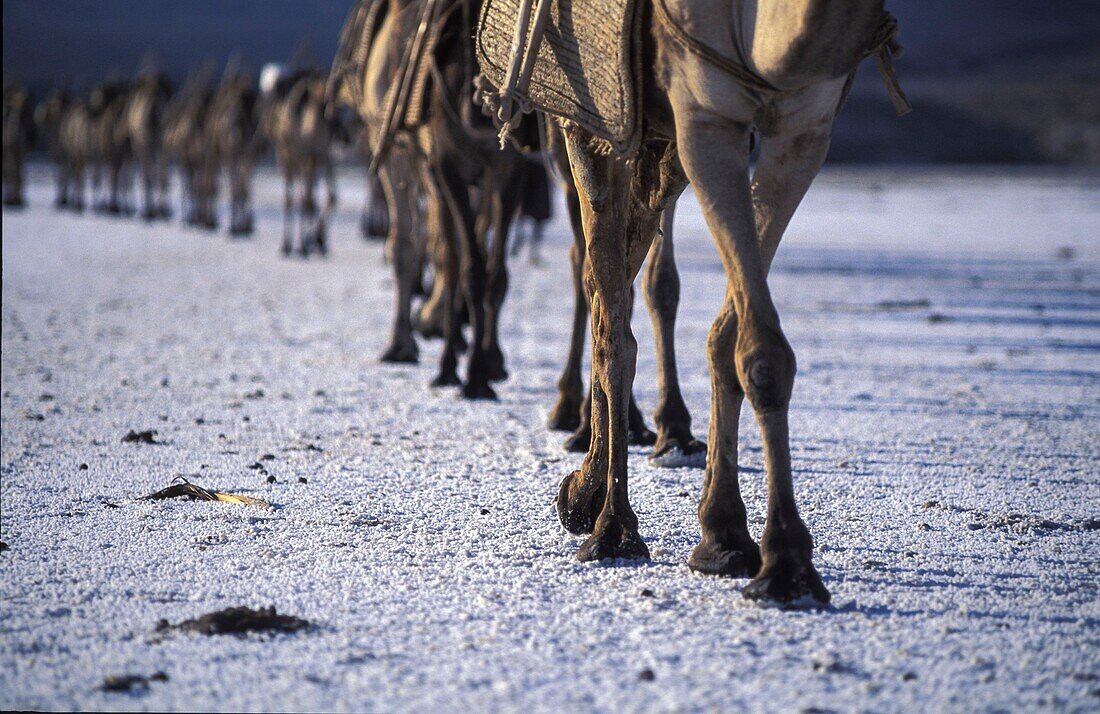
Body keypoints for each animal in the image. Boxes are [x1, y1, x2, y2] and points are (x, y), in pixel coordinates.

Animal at [481, 0, 910, 607]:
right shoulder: (704, 114)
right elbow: (754, 345)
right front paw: (785, 566)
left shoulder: (806, 125)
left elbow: (742, 340)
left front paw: (732, 539)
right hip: (592, 118)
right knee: (610, 312)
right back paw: (607, 521)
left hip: (656, 147)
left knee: (618, 285)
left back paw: (588, 491)